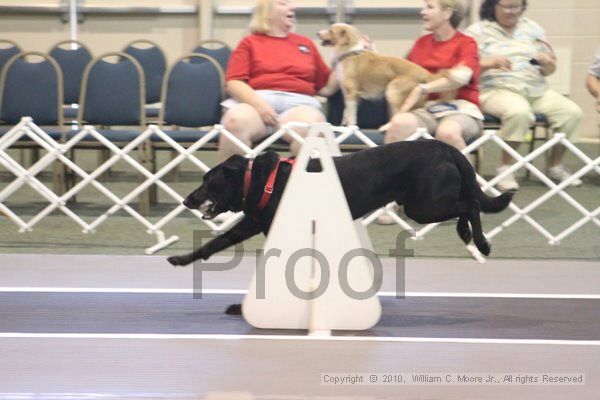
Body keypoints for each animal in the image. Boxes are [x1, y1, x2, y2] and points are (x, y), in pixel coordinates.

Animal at [166, 139, 512, 268]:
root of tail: (444, 147)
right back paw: (467, 235)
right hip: (426, 203)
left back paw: (481, 243)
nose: (186, 199)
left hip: (423, 205)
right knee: (467, 203)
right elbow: (216, 242)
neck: (261, 181)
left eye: (208, 182)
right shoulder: (256, 222)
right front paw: (181, 259)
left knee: (471, 203)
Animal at [318, 22, 446, 126]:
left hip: (392, 90)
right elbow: (346, 113)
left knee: (401, 113)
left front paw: (351, 128)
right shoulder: (351, 95)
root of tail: (426, 73)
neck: (349, 52)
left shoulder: (351, 92)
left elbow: (351, 115)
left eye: (330, 30)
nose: (317, 33)